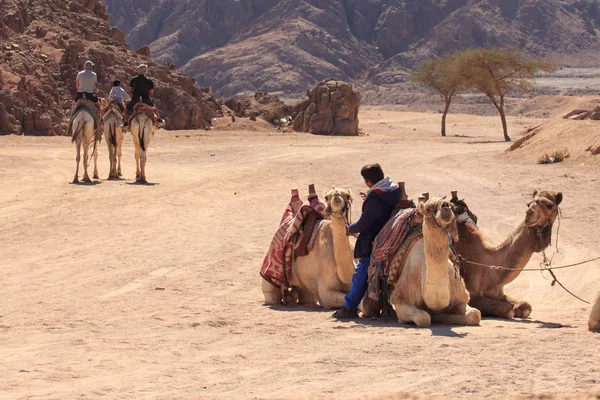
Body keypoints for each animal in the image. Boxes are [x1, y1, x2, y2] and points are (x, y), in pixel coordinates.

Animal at [364, 198, 480, 326]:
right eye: (428, 209)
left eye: (451, 206)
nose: (445, 206)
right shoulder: (402, 299)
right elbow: (423, 318)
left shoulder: (459, 296)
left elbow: (475, 314)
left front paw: (444, 316)